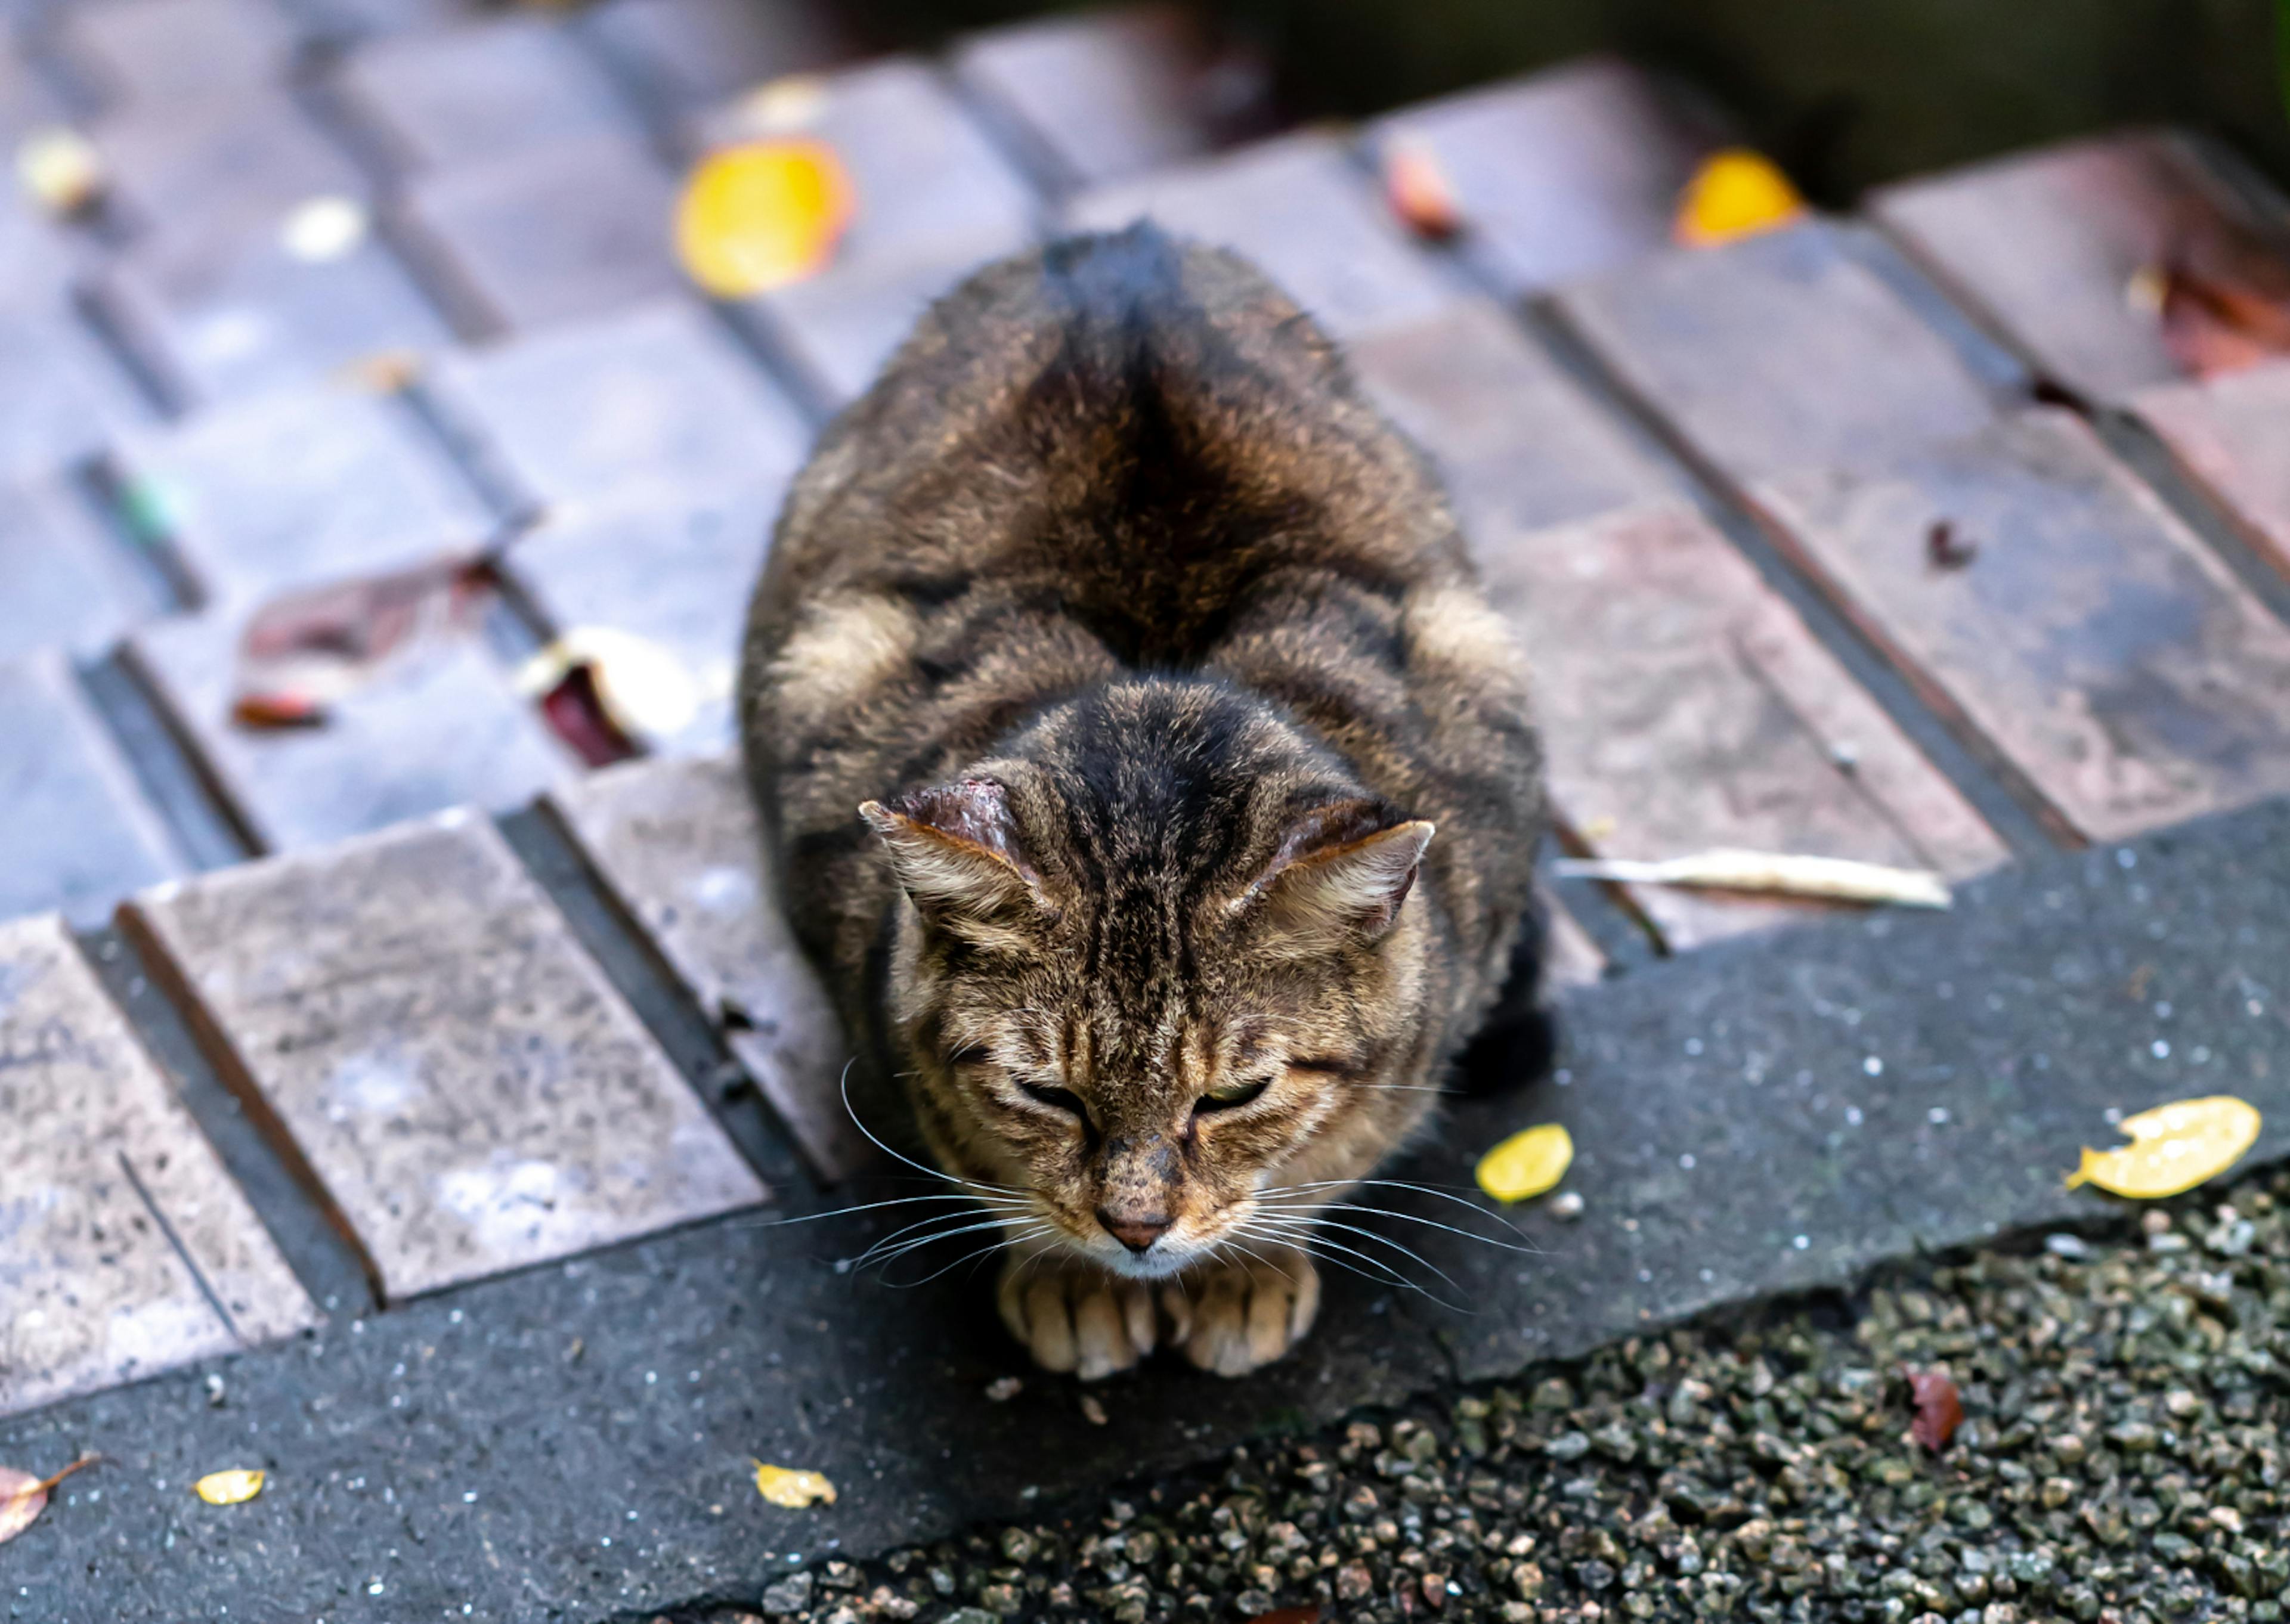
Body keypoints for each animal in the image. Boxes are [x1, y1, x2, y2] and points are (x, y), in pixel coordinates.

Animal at [742, 222, 1548, 1374]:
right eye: (1048, 1094)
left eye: (1234, 1096)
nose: (1134, 1228)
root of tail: (1117, 236)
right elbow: (980, 1162)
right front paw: (1069, 1275)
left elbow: (1338, 1149)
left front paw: (1250, 1267)